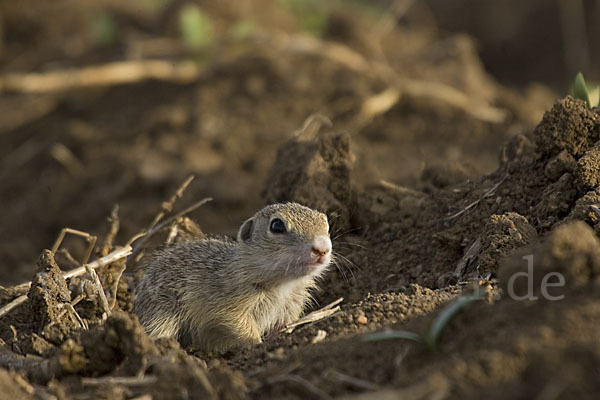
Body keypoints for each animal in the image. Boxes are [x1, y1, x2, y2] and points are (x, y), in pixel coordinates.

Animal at [134, 203, 332, 350]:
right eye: (277, 226)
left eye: (326, 223)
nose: (323, 248)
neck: (283, 284)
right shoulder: (231, 303)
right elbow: (238, 324)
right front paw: (257, 345)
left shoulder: (291, 305)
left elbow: (284, 325)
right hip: (162, 312)